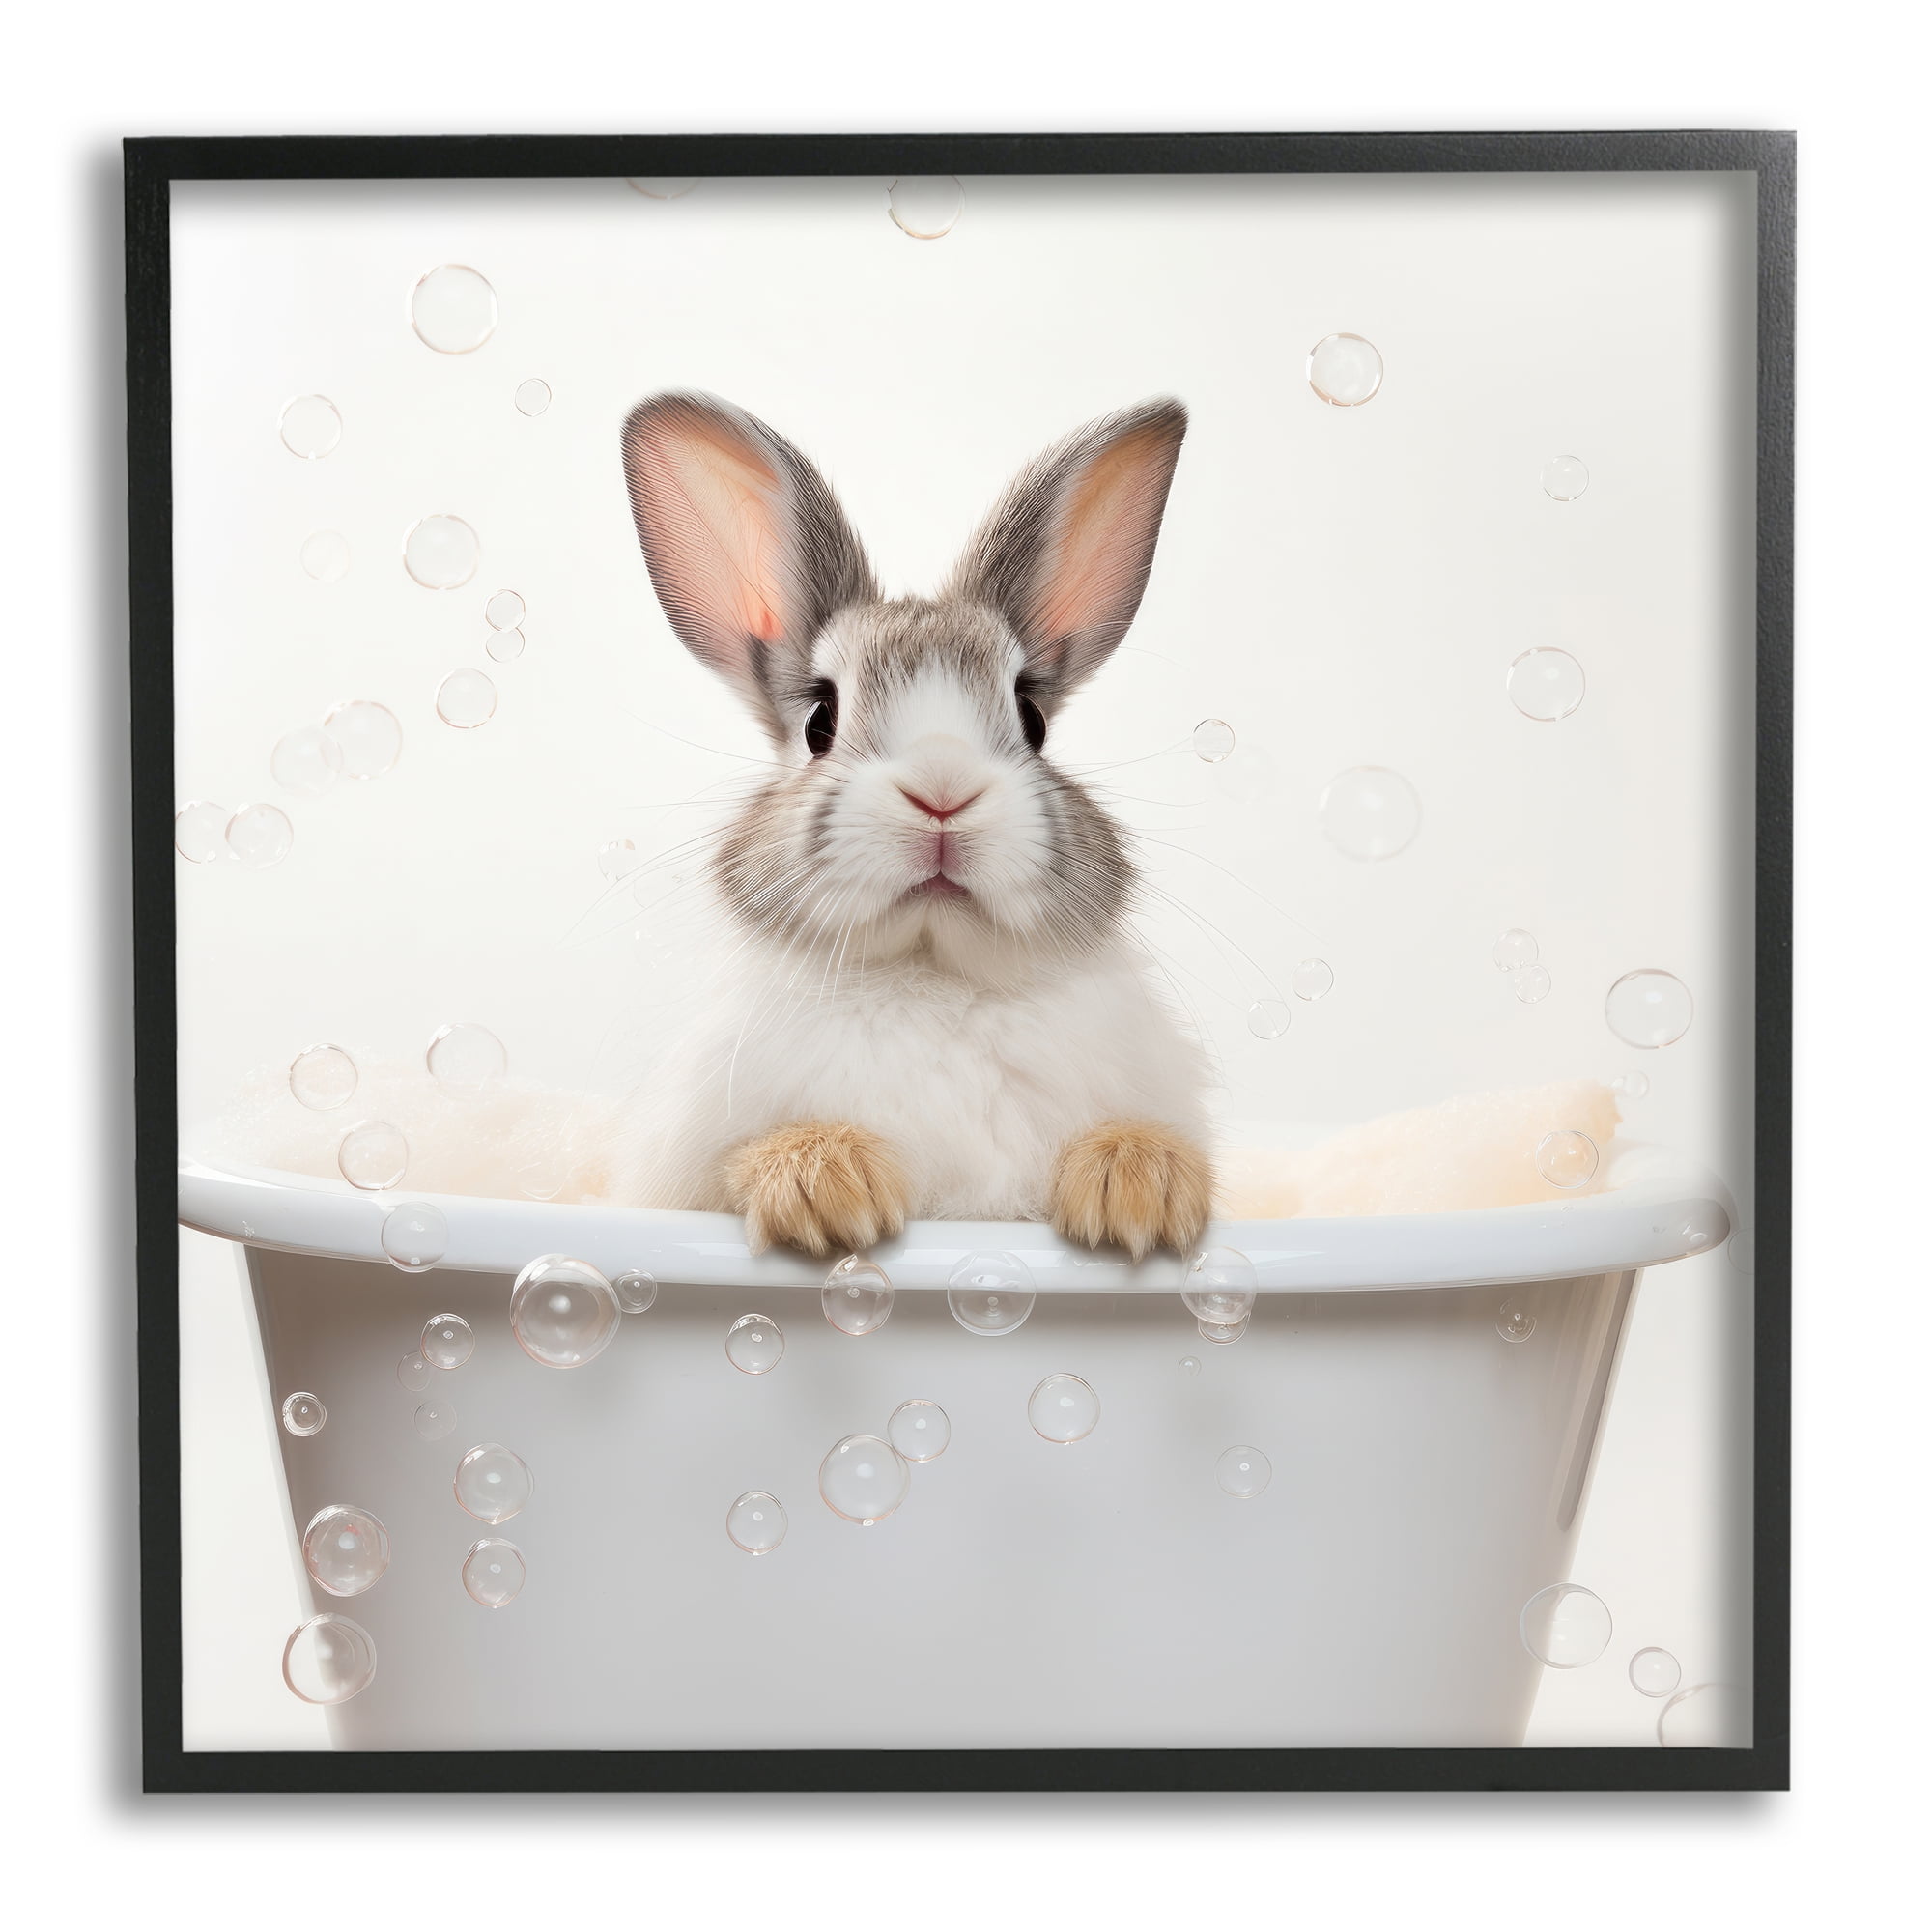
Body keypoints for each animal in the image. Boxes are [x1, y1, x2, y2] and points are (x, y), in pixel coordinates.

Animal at [613, 391, 1213, 1260]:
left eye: (1032, 719)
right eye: (820, 722)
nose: (942, 789)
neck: (932, 972)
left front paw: (1141, 1190)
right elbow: (740, 1166)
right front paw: (830, 1186)